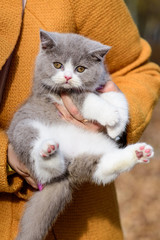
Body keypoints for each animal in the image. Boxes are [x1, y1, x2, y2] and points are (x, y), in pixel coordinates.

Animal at [7, 30, 154, 240]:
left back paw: (139, 152)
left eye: (81, 68)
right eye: (57, 65)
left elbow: (118, 96)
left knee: (102, 168)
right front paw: (110, 116)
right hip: (23, 128)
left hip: (92, 154)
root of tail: (67, 167)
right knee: (42, 165)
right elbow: (86, 98)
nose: (68, 77)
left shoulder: (105, 83)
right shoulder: (57, 93)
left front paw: (117, 127)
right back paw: (49, 151)